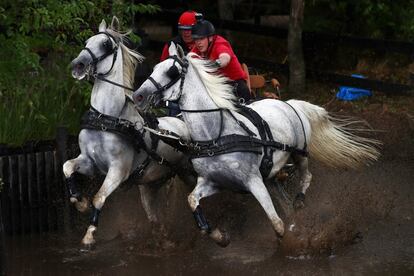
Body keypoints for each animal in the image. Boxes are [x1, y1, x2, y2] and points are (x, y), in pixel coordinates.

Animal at [64, 18, 193, 248]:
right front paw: (79, 201)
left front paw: (89, 234)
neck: (107, 118)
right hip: (151, 184)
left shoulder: (118, 170)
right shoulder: (90, 162)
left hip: (187, 173)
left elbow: (99, 197)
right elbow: (67, 167)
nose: (77, 65)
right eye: (87, 41)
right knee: (154, 216)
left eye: (106, 45)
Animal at [133, 43, 382, 248]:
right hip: (270, 174)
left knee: (306, 177)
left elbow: (277, 224)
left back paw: (300, 202)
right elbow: (193, 201)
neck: (216, 135)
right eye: (154, 67)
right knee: (282, 195)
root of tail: (289, 103)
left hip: (300, 153)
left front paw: (294, 242)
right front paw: (219, 236)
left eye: (171, 72)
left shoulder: (253, 181)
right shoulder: (214, 181)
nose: (137, 96)